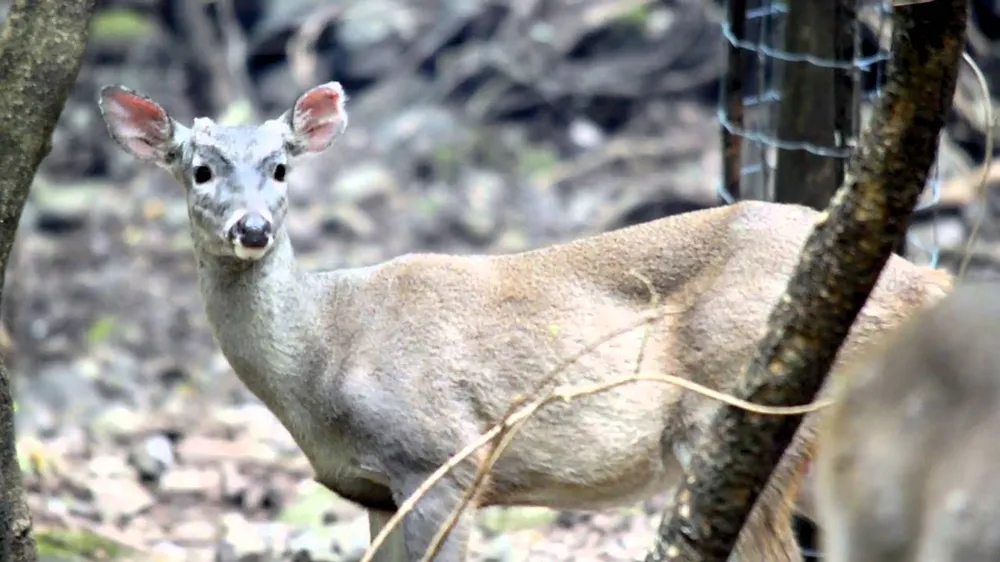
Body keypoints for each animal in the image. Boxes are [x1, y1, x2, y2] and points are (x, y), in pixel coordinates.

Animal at [99, 80, 952, 560]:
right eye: (199, 170)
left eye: (280, 168)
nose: (251, 228)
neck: (324, 354)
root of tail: (923, 282)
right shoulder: (374, 492)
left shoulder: (443, 455)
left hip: (753, 414)